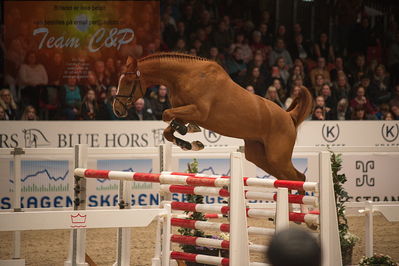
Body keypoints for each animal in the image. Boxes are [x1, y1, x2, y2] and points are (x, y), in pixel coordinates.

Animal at [114, 52, 314, 181]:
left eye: (128, 81)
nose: (117, 109)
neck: (185, 76)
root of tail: (289, 116)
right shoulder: (184, 111)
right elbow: (168, 130)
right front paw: (190, 142)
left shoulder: (198, 111)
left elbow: (166, 114)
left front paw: (188, 131)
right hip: (259, 156)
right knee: (288, 178)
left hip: (277, 157)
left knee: (298, 177)